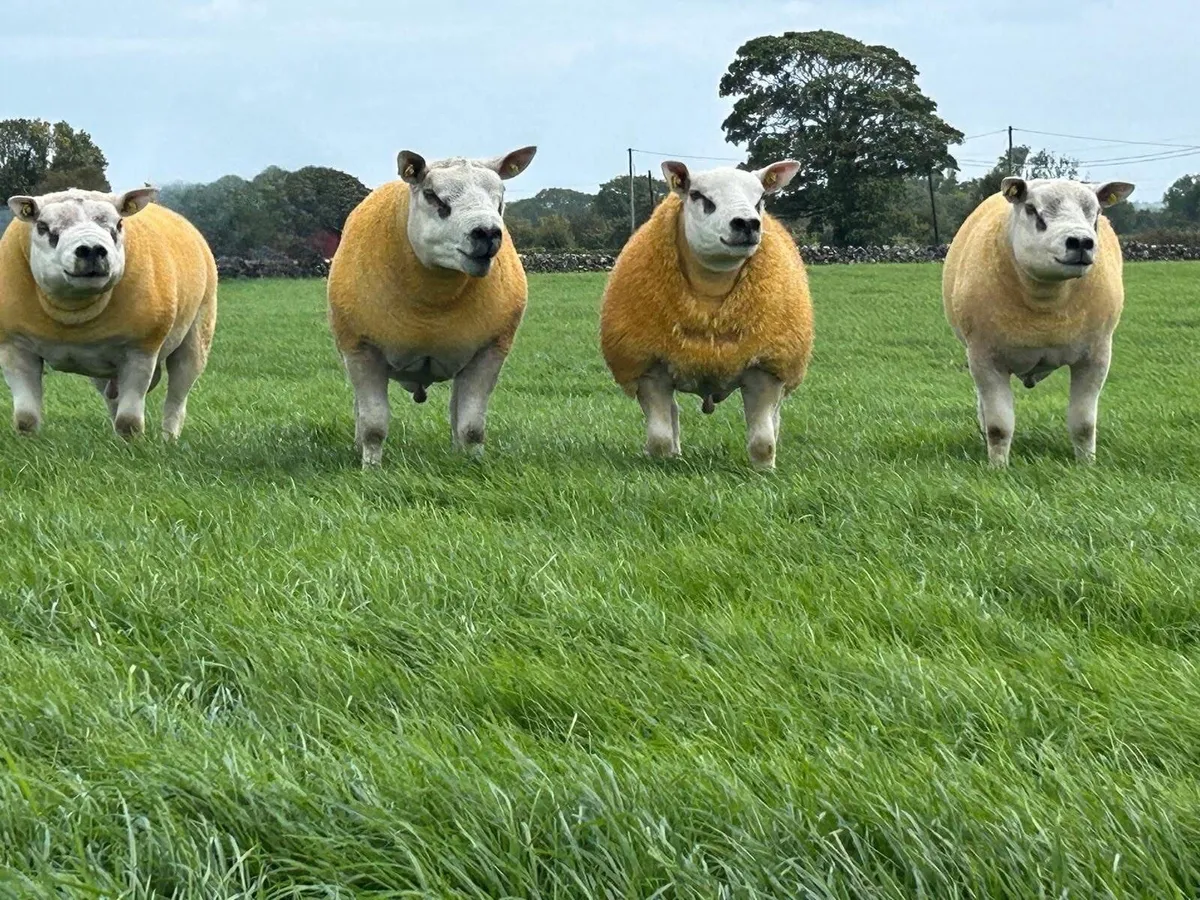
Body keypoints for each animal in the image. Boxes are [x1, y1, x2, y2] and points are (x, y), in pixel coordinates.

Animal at [0, 187, 218, 440]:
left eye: (119, 223)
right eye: (42, 226)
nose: (91, 250)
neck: (72, 313)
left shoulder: (140, 352)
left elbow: (129, 422)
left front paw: (132, 445)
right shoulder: (14, 347)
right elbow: (26, 419)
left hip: (197, 336)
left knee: (177, 397)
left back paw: (168, 439)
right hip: (101, 366)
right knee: (112, 397)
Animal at [327, 146, 537, 468]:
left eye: (500, 196)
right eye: (432, 195)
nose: (487, 233)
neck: (433, 309)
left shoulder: (489, 352)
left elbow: (472, 427)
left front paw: (473, 465)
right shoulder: (360, 350)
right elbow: (373, 425)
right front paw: (371, 469)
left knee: (455, 413)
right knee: (359, 411)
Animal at [599, 159, 812, 470]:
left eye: (761, 199)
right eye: (698, 195)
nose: (747, 223)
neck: (711, 291)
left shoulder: (765, 368)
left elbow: (763, 441)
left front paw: (764, 471)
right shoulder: (650, 367)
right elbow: (660, 437)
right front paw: (661, 465)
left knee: (775, 418)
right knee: (673, 415)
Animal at [943, 177, 1135, 467]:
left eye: (1097, 212)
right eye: (1032, 209)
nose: (1080, 242)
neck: (1045, 308)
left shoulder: (1096, 357)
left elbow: (1084, 425)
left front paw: (1087, 467)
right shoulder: (984, 358)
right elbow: (998, 427)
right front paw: (997, 468)